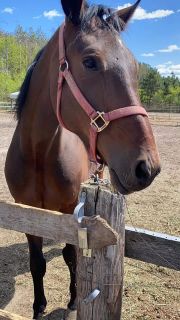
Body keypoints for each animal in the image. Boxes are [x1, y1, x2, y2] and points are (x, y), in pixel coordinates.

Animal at [4, 1, 161, 318]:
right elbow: (37, 263)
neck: (38, 153)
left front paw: (75, 300)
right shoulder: (25, 210)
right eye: (90, 62)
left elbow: (71, 255)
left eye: (135, 66)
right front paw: (39, 308)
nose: (147, 167)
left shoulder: (70, 210)